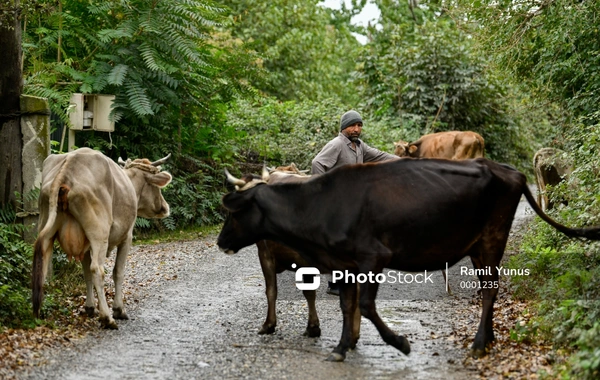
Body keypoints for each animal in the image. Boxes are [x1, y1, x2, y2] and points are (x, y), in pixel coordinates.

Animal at [33, 147, 171, 328]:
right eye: (156, 187)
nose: (165, 207)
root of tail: (68, 165)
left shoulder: (85, 245)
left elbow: (86, 273)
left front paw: (90, 307)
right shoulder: (127, 237)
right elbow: (118, 271)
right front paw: (119, 309)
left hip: (46, 224)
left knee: (42, 262)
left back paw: (38, 311)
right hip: (99, 233)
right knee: (97, 270)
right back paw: (107, 317)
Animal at [218, 157, 600, 362]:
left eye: (234, 213)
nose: (221, 242)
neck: (317, 205)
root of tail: (509, 170)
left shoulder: (373, 256)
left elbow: (367, 306)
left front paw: (400, 343)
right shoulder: (344, 263)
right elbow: (347, 305)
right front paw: (341, 346)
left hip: (492, 237)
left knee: (490, 289)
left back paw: (479, 343)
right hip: (479, 244)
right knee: (489, 288)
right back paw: (488, 338)